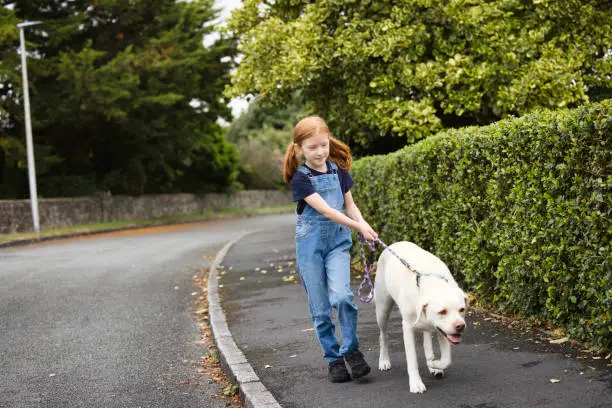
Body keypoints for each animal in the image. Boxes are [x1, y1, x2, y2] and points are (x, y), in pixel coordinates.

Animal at [372, 241, 468, 394]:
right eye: (442, 311)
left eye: (462, 310)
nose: (460, 326)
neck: (432, 284)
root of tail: (394, 244)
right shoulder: (408, 328)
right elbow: (412, 359)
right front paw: (416, 383)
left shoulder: (443, 331)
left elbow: (446, 360)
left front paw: (434, 363)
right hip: (382, 310)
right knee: (383, 335)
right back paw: (384, 360)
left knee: (427, 340)